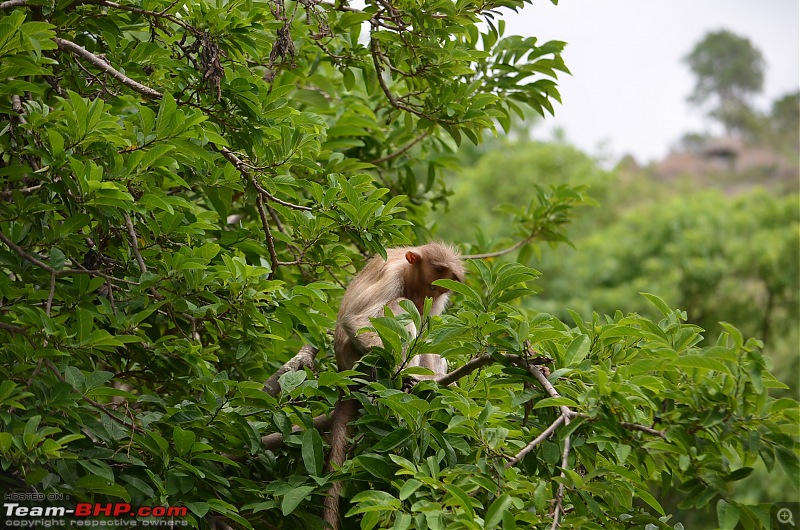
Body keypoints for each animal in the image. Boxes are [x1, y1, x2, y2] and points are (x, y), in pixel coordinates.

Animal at [322, 241, 466, 524]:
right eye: (431, 286)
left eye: (438, 290)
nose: (424, 300)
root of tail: (345, 374)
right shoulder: (393, 275)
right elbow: (355, 321)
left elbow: (430, 329)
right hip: (363, 365)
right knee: (400, 306)